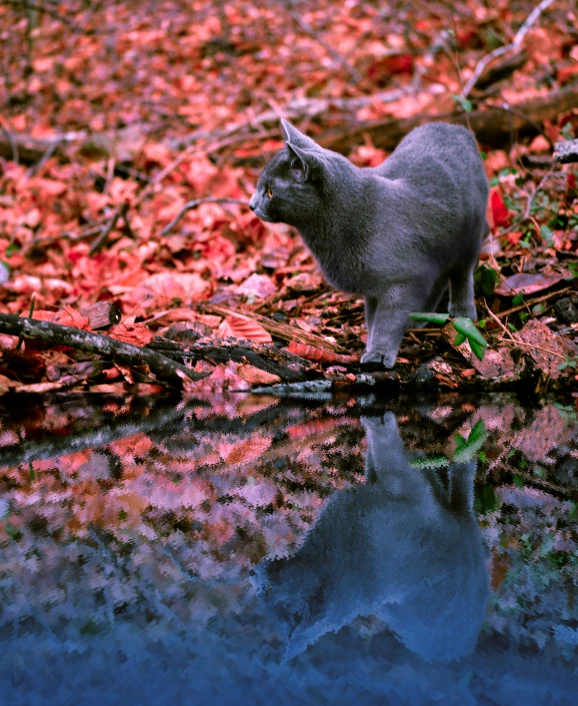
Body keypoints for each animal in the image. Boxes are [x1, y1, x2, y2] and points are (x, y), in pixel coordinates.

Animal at [250, 118, 488, 366]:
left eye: (270, 192)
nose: (251, 205)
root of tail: (455, 128)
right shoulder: (374, 288)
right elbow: (373, 319)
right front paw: (370, 347)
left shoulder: (401, 281)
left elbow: (386, 321)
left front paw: (379, 353)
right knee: (439, 277)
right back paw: (420, 316)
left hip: (470, 234)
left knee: (461, 272)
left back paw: (462, 311)